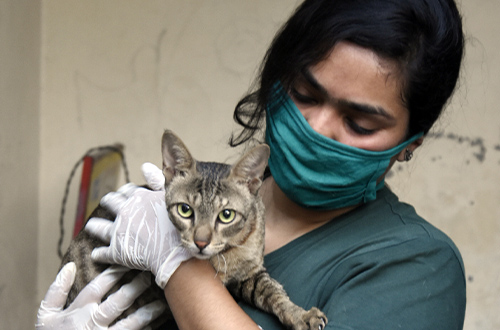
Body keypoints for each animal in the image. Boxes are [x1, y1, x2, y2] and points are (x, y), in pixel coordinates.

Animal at [59, 130, 328, 330]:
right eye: (185, 210)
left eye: (226, 215)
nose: (200, 242)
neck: (227, 254)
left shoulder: (250, 274)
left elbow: (274, 291)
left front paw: (301, 314)